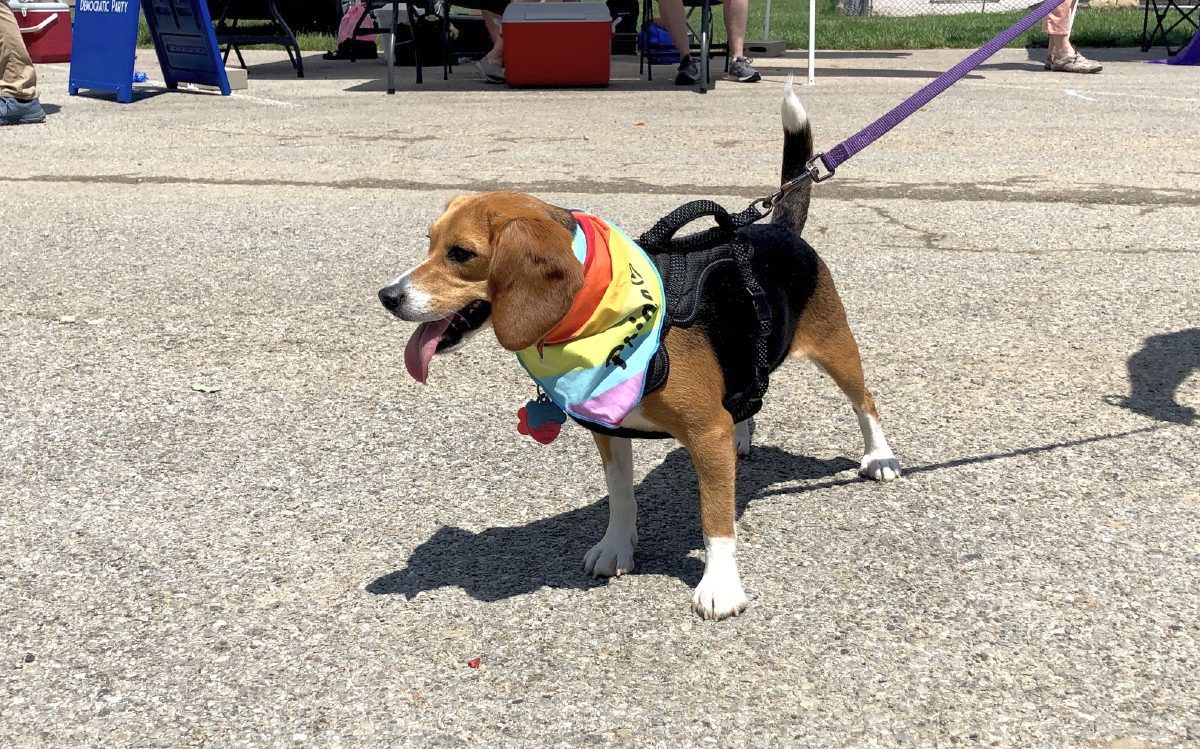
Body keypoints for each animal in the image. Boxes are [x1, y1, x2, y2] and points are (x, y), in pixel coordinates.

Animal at [376, 86, 902, 619]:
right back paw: (743, 433)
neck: (599, 320)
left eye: (461, 254)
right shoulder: (611, 431)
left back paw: (879, 457)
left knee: (865, 402)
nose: (387, 296)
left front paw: (720, 585)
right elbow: (621, 497)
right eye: (429, 243)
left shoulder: (705, 434)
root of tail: (781, 228)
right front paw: (616, 547)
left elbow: (715, 519)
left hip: (836, 347)